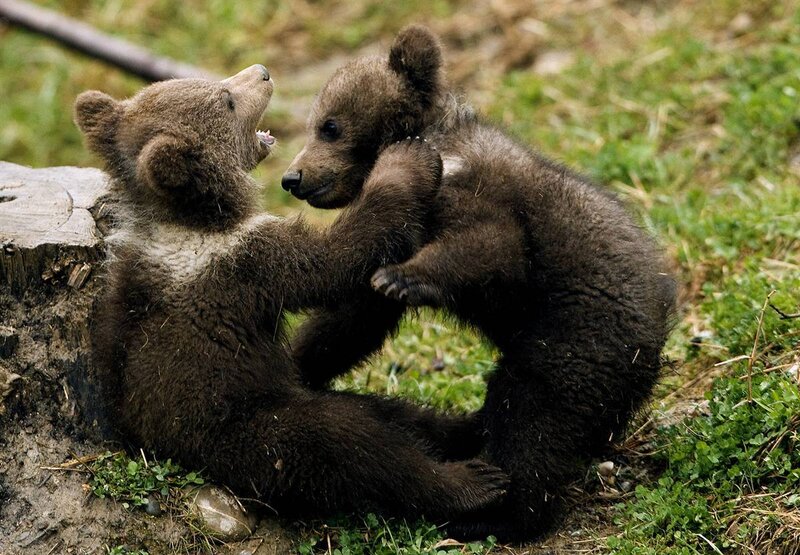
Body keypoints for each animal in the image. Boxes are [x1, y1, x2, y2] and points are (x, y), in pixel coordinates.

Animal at [75, 64, 510, 522]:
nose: (262, 72)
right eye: (227, 100)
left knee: (388, 413)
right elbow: (335, 259)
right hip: (242, 427)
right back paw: (470, 482)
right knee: (347, 443)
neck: (193, 220)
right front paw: (404, 159)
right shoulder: (247, 264)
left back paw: (468, 424)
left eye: (220, 86)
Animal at [282, 27, 676, 541]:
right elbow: (351, 319)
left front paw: (403, 278)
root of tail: (654, 341)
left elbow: (493, 245)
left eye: (329, 125)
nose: (293, 176)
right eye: (314, 123)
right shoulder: (406, 226)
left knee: (531, 419)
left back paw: (496, 512)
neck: (433, 141)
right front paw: (297, 361)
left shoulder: (473, 193)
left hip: (574, 339)